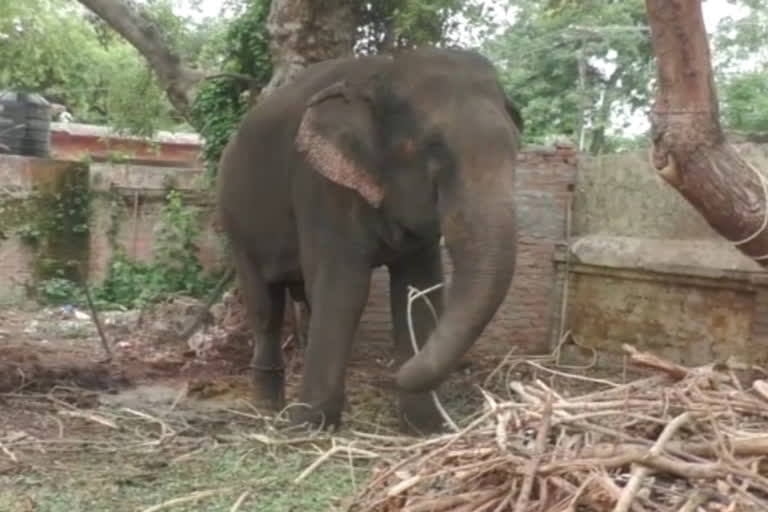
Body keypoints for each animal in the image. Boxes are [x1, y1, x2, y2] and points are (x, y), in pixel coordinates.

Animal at [219, 46, 524, 434]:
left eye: (516, 148)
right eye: (432, 148)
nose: (397, 374)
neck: (384, 73)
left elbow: (419, 287)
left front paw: (426, 426)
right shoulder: (322, 184)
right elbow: (344, 286)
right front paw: (308, 426)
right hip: (235, 220)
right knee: (265, 307)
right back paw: (268, 408)